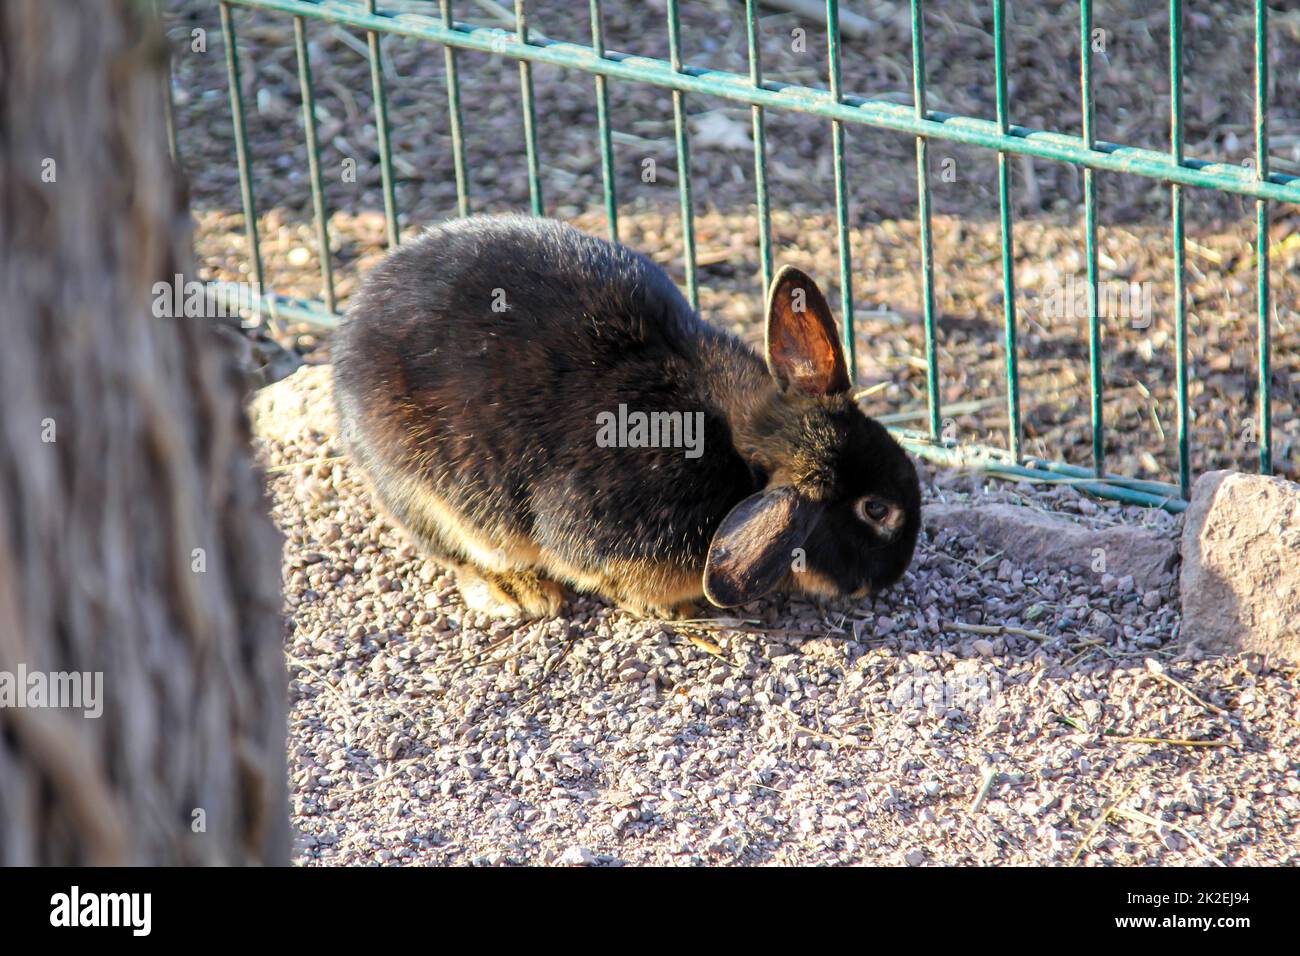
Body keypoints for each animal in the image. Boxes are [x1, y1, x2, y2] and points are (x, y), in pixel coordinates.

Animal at [332, 215, 920, 619]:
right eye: (876, 511)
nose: (898, 571)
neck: (745, 447)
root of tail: (350, 334)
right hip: (430, 492)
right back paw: (524, 593)